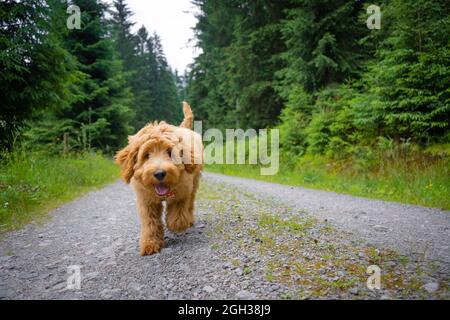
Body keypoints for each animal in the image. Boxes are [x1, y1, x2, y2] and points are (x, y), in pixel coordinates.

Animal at [115, 101, 203, 256]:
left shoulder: (183, 191)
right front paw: (150, 244)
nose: (160, 173)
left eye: (170, 152)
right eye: (146, 155)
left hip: (195, 181)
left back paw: (189, 220)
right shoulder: (146, 200)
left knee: (190, 203)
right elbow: (150, 222)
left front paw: (176, 224)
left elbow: (178, 211)